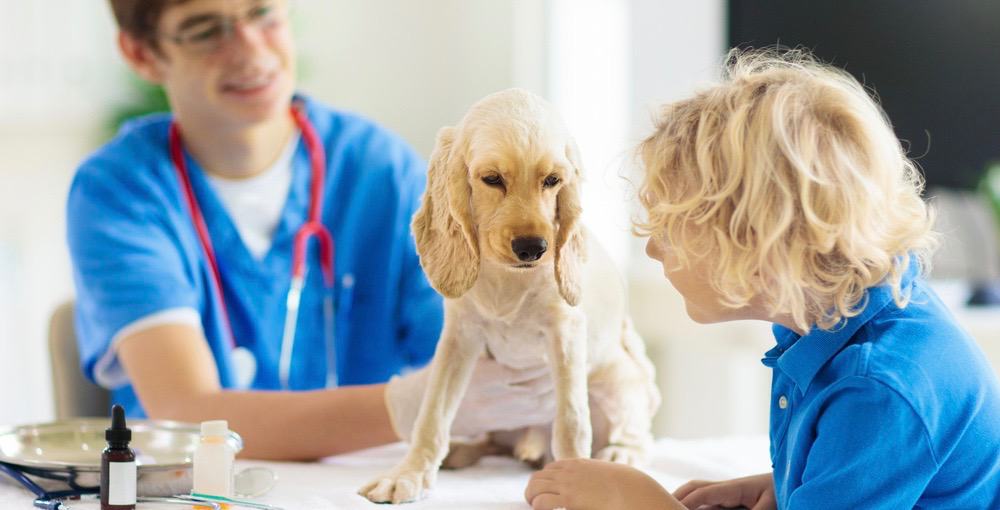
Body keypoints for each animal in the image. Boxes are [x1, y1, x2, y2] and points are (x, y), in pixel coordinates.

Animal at [358, 88, 656, 506]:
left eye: (553, 180)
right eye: (492, 179)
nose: (533, 248)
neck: (508, 282)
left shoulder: (565, 332)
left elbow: (571, 420)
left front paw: (574, 481)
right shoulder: (459, 336)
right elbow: (432, 413)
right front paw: (410, 473)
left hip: (619, 378)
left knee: (637, 427)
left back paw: (621, 454)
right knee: (490, 442)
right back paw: (463, 451)